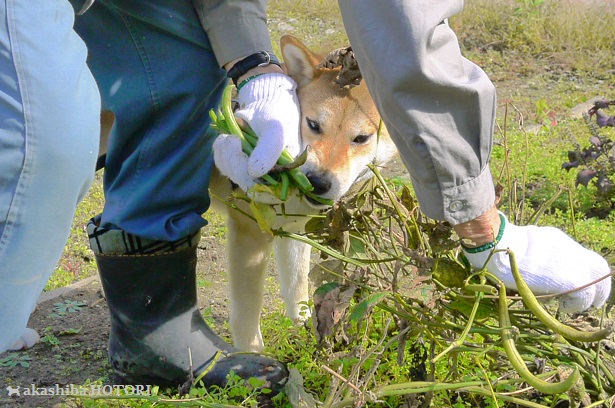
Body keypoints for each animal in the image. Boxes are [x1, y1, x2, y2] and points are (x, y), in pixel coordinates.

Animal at [209, 36, 398, 352]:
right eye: (313, 125)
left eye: (361, 138)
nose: (318, 182)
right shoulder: (249, 232)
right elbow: (246, 320)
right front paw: (253, 360)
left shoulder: (294, 231)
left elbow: (297, 293)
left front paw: (307, 336)